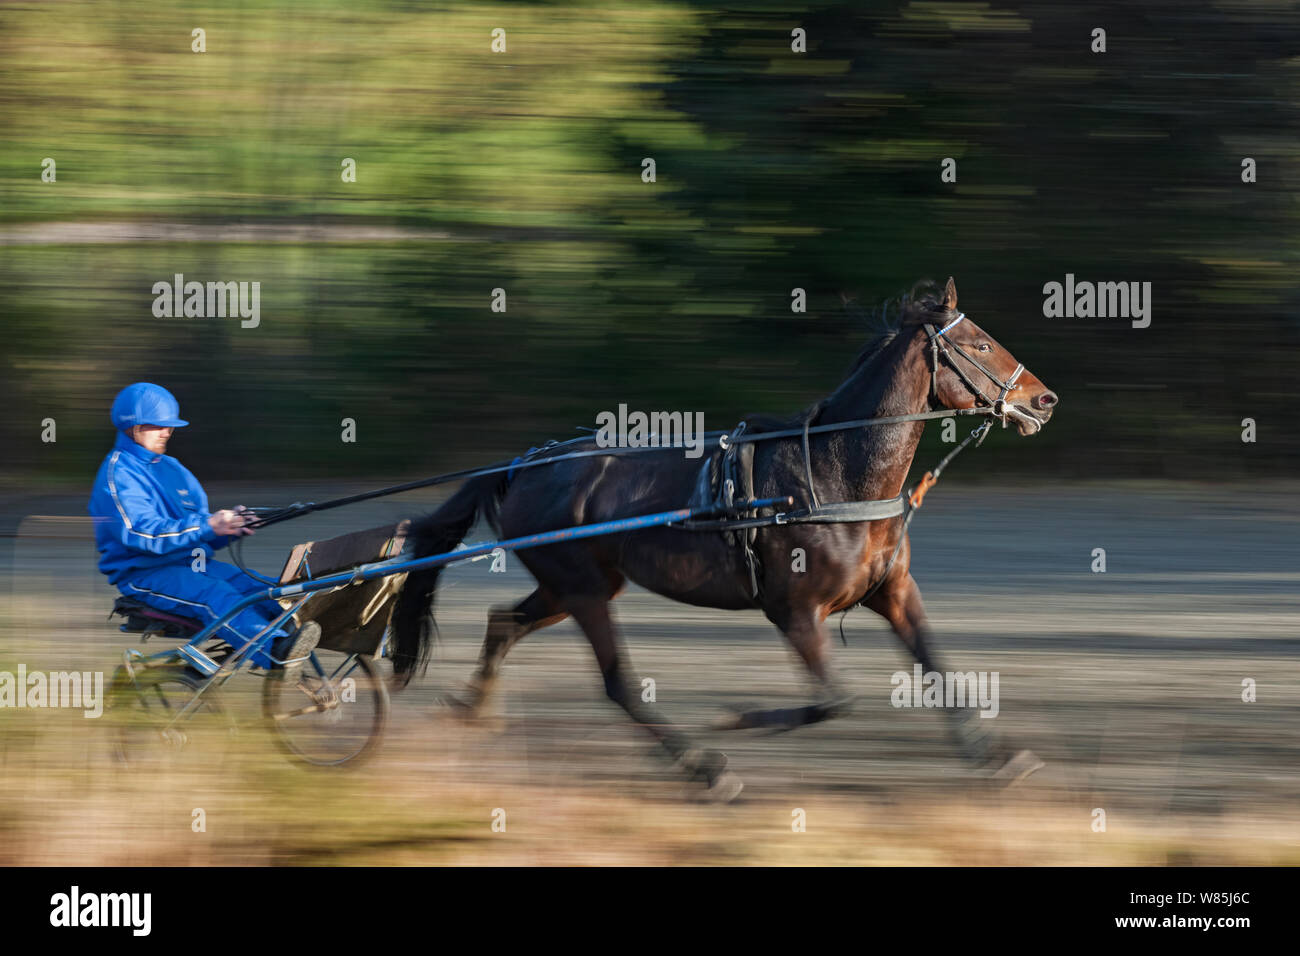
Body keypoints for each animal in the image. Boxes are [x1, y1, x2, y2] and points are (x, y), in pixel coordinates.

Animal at [390, 278, 1058, 799]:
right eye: (979, 344)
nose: (1043, 399)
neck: (834, 474)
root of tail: (523, 465)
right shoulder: (794, 610)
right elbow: (834, 700)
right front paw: (737, 720)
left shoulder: (892, 590)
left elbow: (938, 667)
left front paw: (999, 758)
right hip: (581, 590)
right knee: (617, 682)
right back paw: (703, 768)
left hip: (575, 586)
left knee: (503, 622)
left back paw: (474, 711)